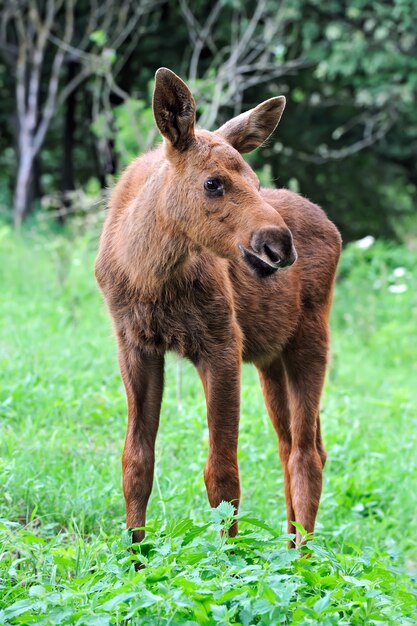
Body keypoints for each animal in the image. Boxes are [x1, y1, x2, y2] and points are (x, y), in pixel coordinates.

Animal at [96, 68, 342, 544]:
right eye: (213, 182)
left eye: (257, 182)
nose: (279, 246)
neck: (147, 273)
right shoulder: (134, 344)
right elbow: (136, 461)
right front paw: (134, 554)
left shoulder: (222, 343)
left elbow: (223, 475)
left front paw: (229, 559)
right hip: (270, 359)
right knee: (292, 445)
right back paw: (289, 548)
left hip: (311, 340)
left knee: (307, 453)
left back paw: (303, 557)